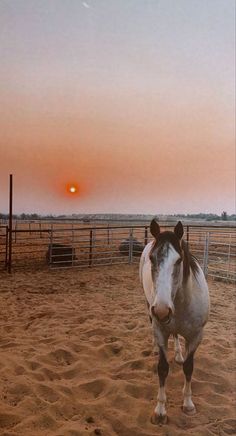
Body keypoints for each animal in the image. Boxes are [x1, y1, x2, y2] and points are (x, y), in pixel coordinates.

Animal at [139, 220, 209, 424]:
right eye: (152, 259)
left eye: (178, 261)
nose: (162, 310)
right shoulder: (161, 331)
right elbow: (162, 369)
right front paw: (160, 411)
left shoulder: (195, 337)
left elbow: (189, 367)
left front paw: (188, 404)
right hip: (149, 305)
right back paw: (155, 348)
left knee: (177, 335)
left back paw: (178, 355)